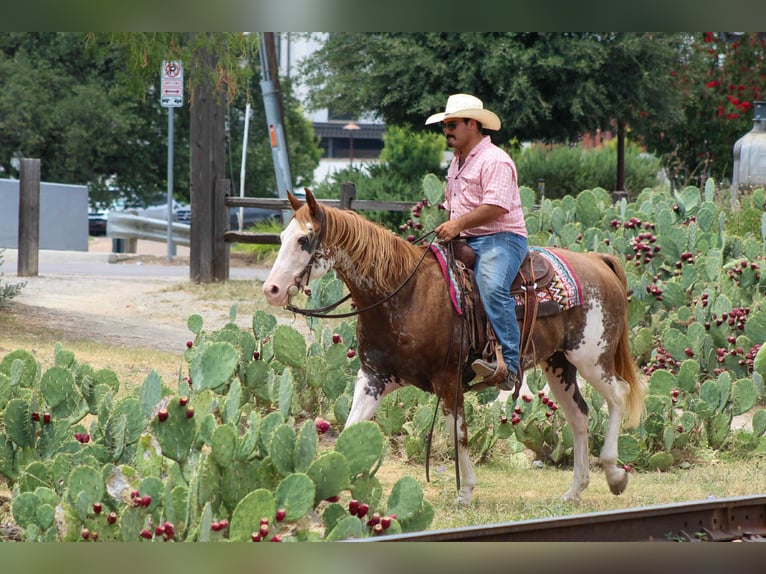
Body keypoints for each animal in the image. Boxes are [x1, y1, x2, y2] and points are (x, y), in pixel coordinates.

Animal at [262, 189, 644, 506]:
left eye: (304, 239)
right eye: (281, 237)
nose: (271, 290)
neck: (404, 293)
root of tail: (597, 261)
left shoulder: (448, 380)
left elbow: (456, 433)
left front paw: (466, 491)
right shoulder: (374, 378)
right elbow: (351, 432)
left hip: (591, 357)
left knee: (618, 395)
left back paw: (614, 474)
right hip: (559, 364)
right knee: (579, 416)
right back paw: (575, 490)